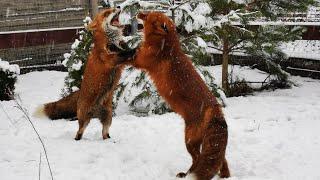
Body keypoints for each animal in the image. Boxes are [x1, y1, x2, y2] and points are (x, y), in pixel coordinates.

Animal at [131, 11, 230, 179]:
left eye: (149, 14)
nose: (138, 11)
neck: (166, 44)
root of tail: (215, 107)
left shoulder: (140, 60)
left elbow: (126, 53)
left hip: (188, 140)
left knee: (199, 158)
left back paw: (188, 174)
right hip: (198, 142)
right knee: (220, 160)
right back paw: (221, 175)